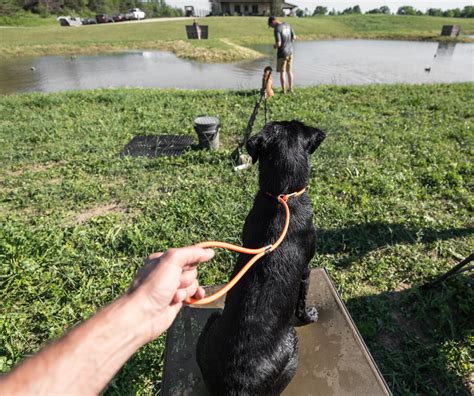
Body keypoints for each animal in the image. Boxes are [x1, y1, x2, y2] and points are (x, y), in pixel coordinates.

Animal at [196, 119, 326, 394]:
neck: (281, 196)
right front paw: (309, 315)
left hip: (211, 323)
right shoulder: (306, 271)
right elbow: (301, 301)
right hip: (292, 347)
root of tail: (238, 385)